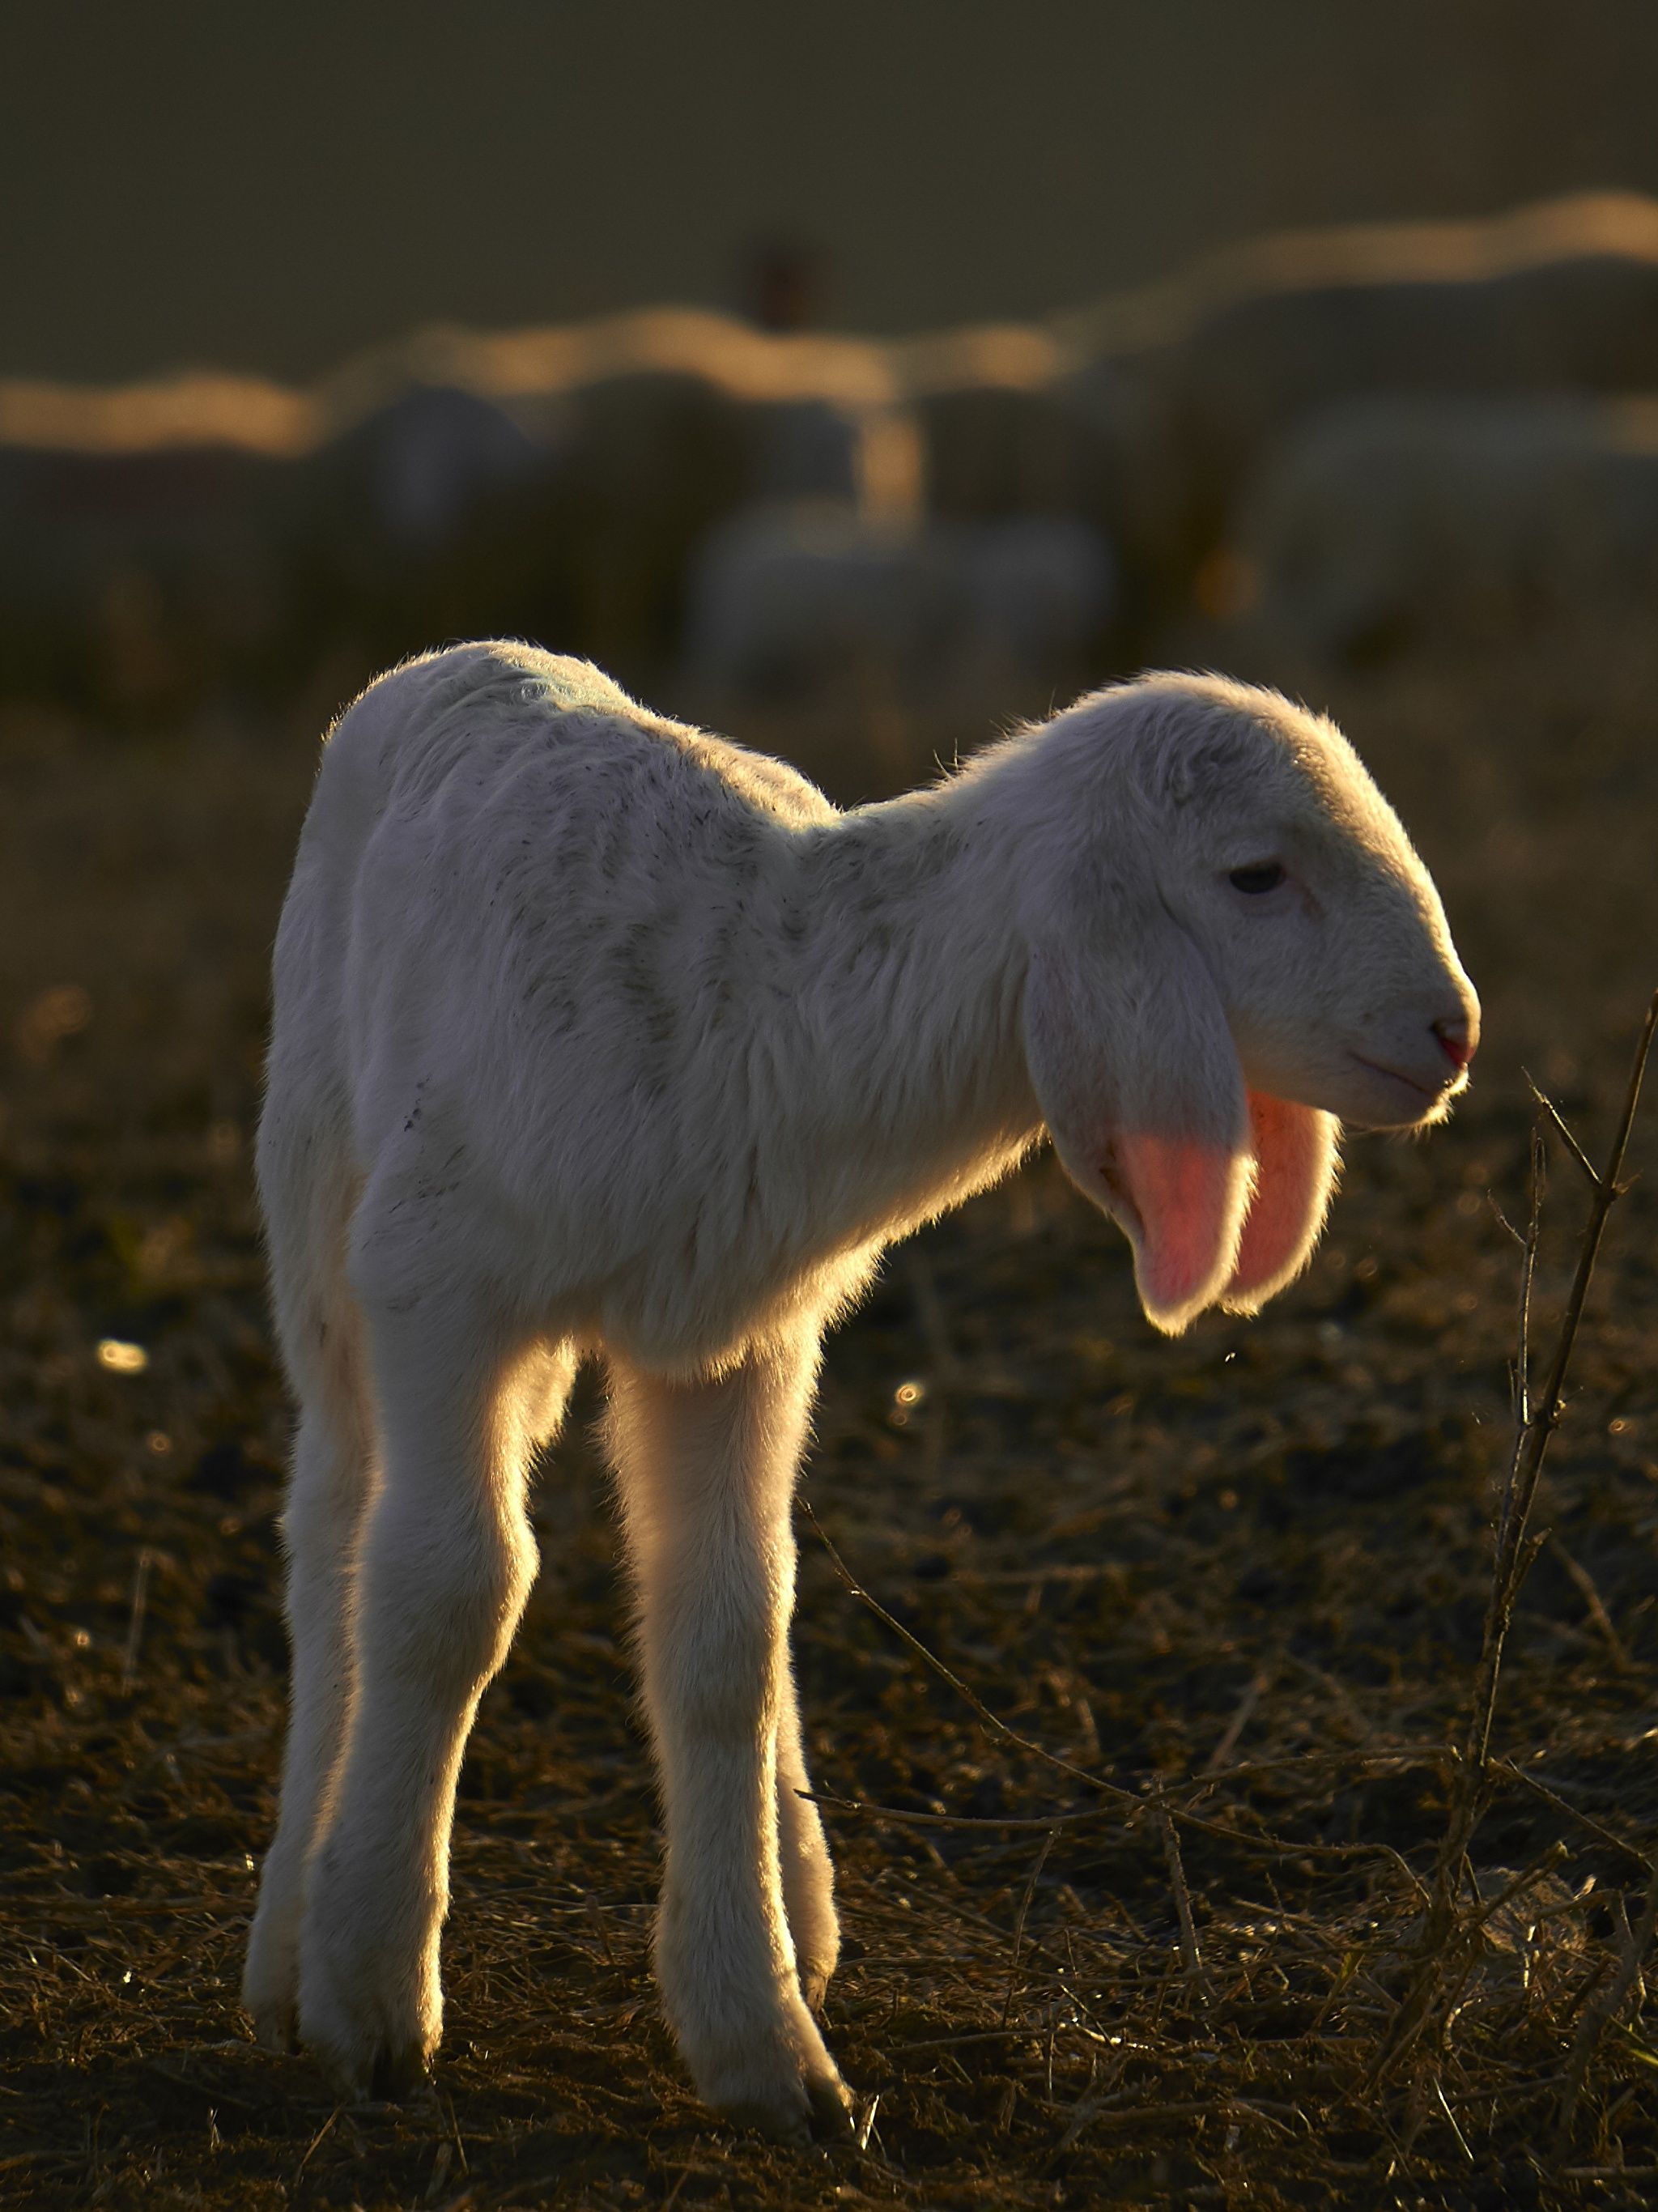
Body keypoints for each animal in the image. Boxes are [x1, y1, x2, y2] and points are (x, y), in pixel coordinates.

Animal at [243, 641, 1477, 2141]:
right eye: (1254, 875)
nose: (1453, 1033)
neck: (766, 990)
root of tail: (472, 653)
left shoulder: (741, 1339)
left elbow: (729, 1633)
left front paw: (761, 2036)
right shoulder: (439, 1285)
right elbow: (444, 1595)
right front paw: (372, 1995)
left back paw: (799, 1895)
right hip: (322, 1207)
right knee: (335, 1538)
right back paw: (286, 1937)